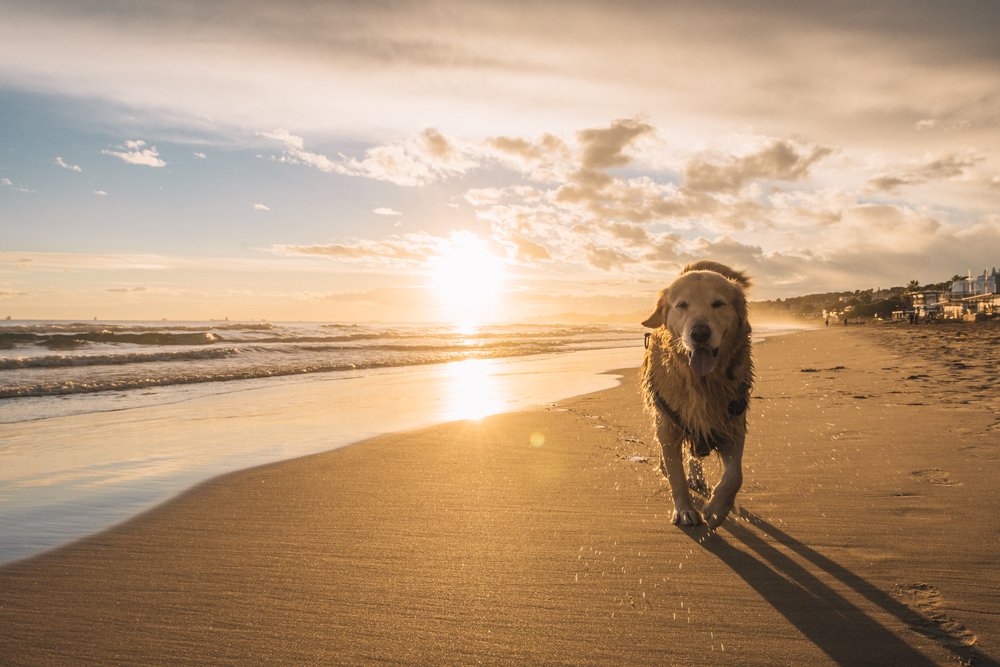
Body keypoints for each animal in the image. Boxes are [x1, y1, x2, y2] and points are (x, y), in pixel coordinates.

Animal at [640, 260, 752, 528]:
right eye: (682, 305)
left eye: (718, 303)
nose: (699, 333)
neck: (701, 381)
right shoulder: (669, 425)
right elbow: (676, 475)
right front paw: (684, 510)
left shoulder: (733, 422)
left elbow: (735, 475)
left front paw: (717, 508)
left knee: (695, 454)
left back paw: (698, 478)